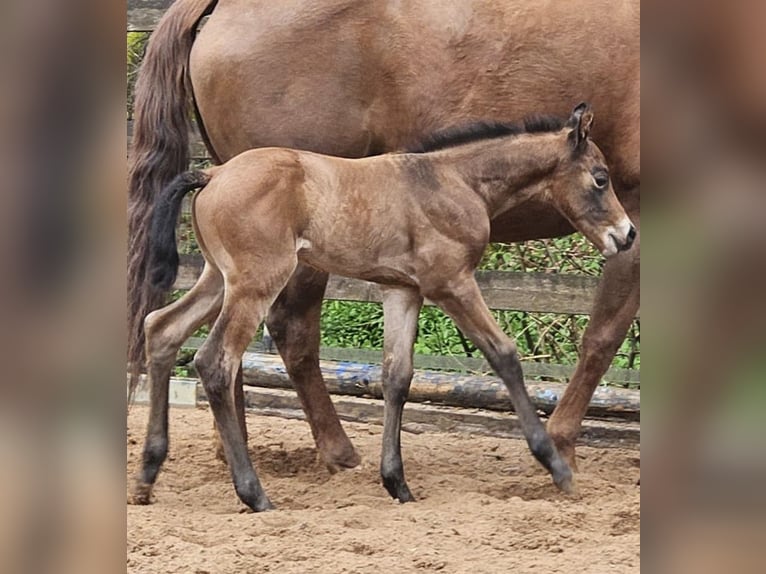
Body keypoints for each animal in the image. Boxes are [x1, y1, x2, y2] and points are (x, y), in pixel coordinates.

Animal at [128, 0, 640, 472]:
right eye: (600, 179)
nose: (625, 235)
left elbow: (399, 372)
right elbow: (598, 335)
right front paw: (559, 449)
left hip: (231, 266)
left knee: (189, 332)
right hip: (282, 263)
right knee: (281, 331)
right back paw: (329, 453)